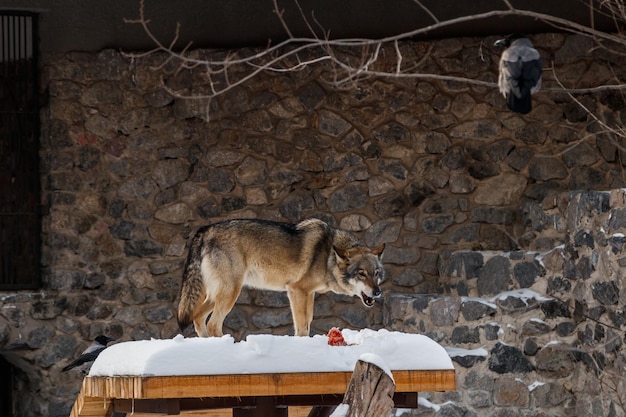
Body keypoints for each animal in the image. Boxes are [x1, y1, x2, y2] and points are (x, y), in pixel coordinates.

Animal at [173, 219, 382, 336]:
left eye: (376, 273)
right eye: (361, 273)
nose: (377, 292)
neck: (328, 255)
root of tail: (206, 229)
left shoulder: (309, 294)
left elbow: (308, 321)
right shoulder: (296, 291)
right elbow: (302, 325)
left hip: (217, 296)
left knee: (197, 318)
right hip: (230, 293)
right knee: (213, 325)